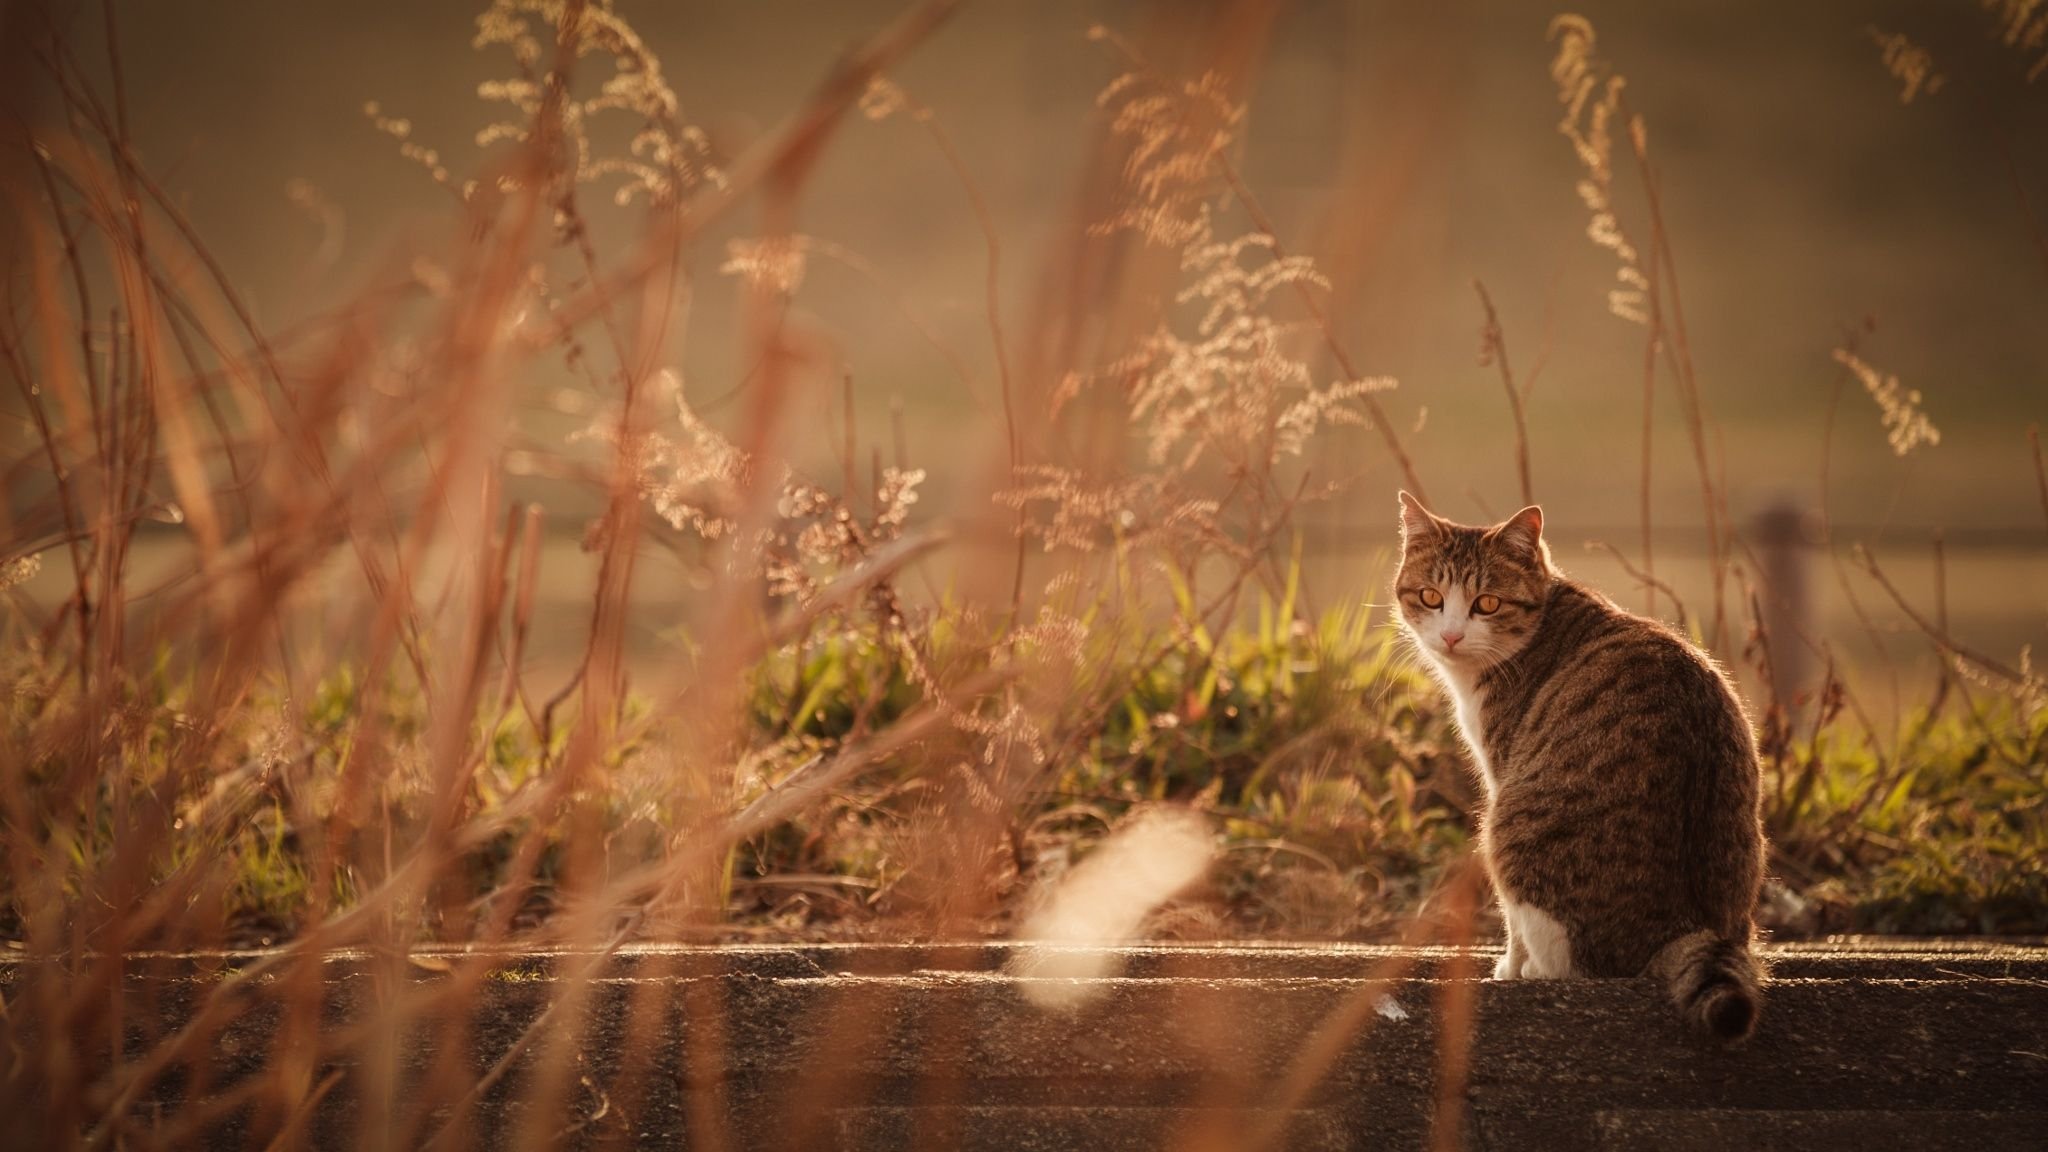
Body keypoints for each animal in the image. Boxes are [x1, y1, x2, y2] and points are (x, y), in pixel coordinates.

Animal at [1400, 487, 1769, 1037]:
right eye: (1430, 597)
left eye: (1487, 603)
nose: (1450, 636)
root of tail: (1681, 929)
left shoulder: (1503, 775)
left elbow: (1510, 922)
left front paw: (1508, 968)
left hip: (1508, 827)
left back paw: (1535, 968)